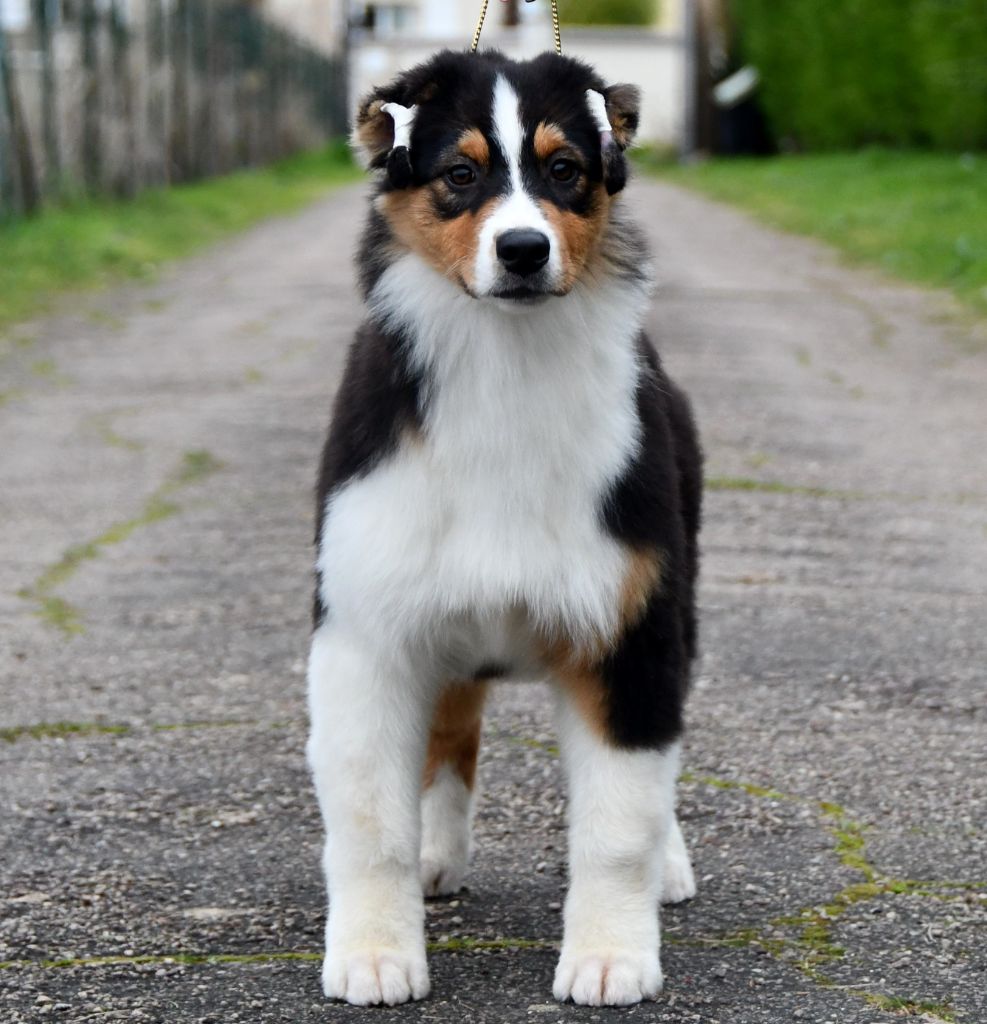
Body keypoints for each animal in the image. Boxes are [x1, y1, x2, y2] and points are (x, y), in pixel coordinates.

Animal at [309, 49, 700, 1007]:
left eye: (564, 170)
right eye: (459, 173)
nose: (523, 250)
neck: (505, 363)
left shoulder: (629, 625)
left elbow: (620, 819)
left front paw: (610, 958)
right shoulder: (366, 631)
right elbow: (369, 819)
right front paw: (374, 954)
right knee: (448, 737)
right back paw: (435, 856)